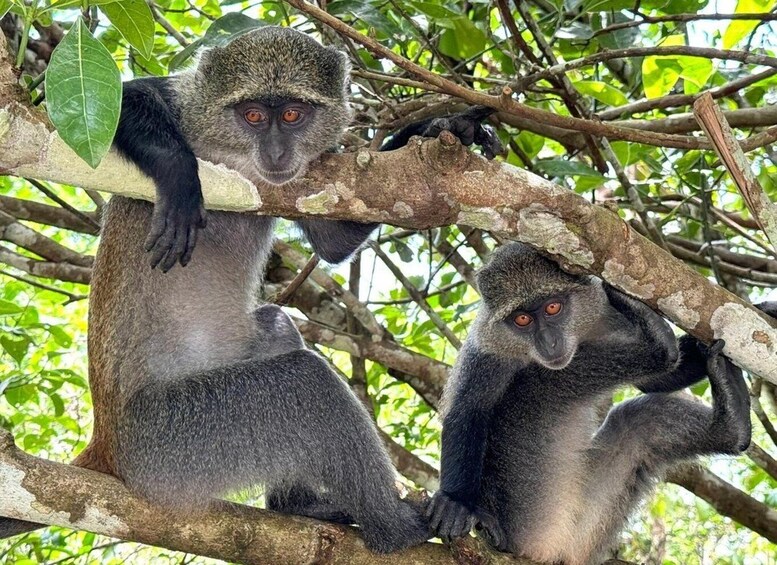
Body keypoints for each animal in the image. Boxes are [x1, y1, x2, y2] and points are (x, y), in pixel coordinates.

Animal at [0, 26, 502, 549]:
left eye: (293, 114)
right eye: (254, 115)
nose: (278, 154)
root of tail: (108, 448)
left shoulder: (313, 182)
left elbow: (333, 239)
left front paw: (439, 126)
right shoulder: (188, 107)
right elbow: (125, 97)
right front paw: (179, 177)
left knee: (277, 326)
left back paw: (299, 504)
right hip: (172, 442)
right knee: (305, 382)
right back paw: (395, 528)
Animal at [425, 243, 754, 565]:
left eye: (553, 307)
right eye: (522, 319)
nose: (549, 342)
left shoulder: (604, 311)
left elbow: (655, 383)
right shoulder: (487, 349)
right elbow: (468, 411)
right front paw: (456, 503)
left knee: (639, 420)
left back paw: (730, 426)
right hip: (530, 503)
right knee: (533, 384)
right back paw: (662, 348)